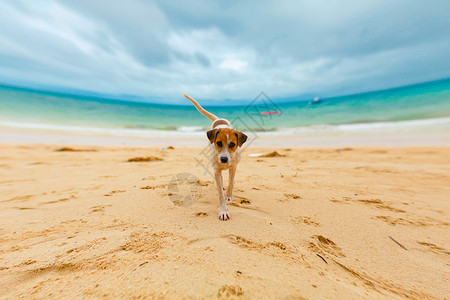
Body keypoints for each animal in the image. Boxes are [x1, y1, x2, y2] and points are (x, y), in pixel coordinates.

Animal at [183, 92, 248, 220]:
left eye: (232, 144)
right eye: (218, 143)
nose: (223, 159)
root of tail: (218, 119)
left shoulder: (233, 167)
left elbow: (230, 182)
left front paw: (229, 195)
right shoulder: (216, 171)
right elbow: (220, 194)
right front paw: (223, 210)